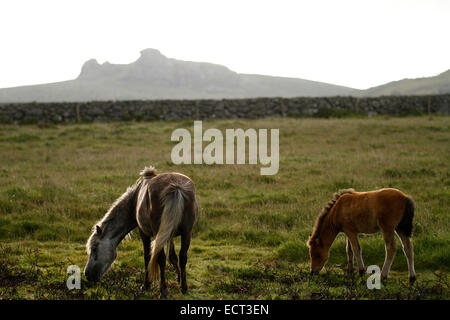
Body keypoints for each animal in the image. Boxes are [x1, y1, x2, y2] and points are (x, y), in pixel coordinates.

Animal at [84, 166, 197, 298]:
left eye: (94, 249)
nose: (87, 274)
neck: (135, 199)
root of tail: (176, 187)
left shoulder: (144, 233)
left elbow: (147, 257)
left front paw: (146, 285)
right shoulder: (169, 235)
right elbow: (173, 257)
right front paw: (179, 279)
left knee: (161, 259)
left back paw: (163, 291)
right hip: (187, 232)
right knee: (183, 256)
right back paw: (184, 288)